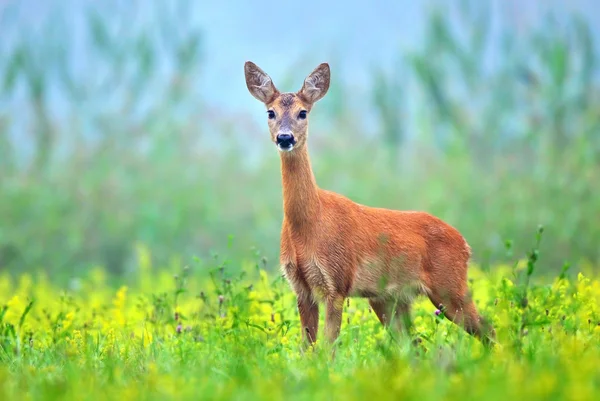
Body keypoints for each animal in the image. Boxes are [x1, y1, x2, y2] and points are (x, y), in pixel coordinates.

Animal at [241, 59, 494, 346]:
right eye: (270, 113)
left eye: (303, 112)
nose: (285, 138)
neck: (309, 225)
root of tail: (465, 244)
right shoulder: (301, 288)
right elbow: (308, 348)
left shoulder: (337, 281)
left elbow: (328, 348)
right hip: (390, 298)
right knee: (415, 344)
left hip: (450, 286)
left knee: (488, 330)